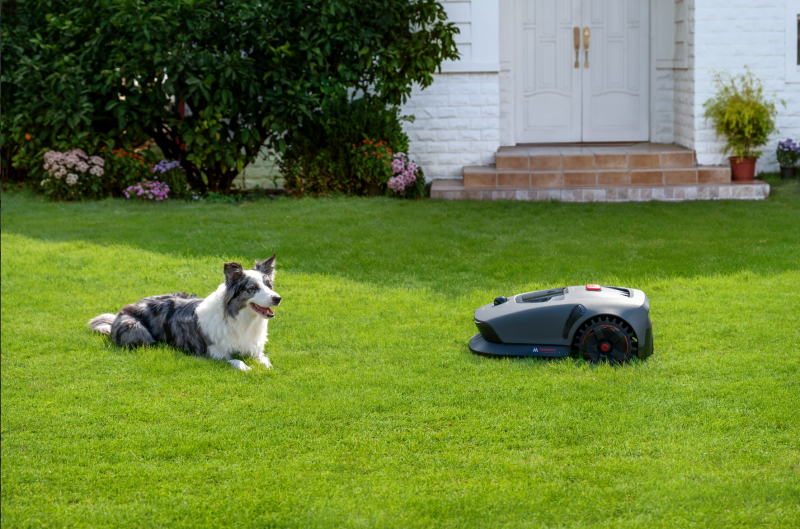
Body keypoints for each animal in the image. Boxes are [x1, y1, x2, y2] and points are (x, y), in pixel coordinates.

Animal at [88, 254, 280, 370]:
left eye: (269, 285)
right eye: (252, 288)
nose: (278, 298)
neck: (244, 321)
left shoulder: (255, 350)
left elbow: (266, 361)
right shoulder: (213, 354)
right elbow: (236, 360)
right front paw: (246, 368)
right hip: (136, 329)